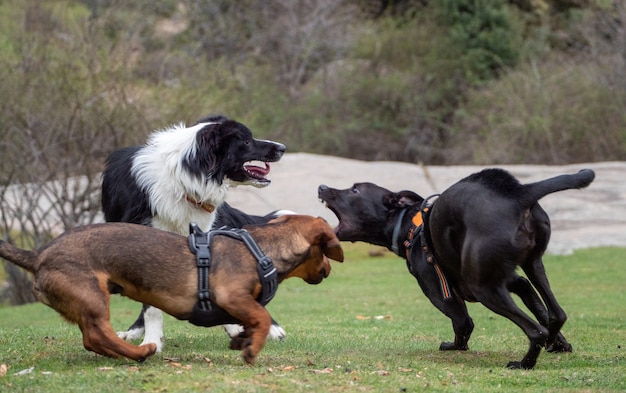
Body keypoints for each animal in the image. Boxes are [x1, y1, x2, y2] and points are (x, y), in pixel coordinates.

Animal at [0, 214, 342, 362]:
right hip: (94, 297)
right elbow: (261, 315)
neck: (262, 249)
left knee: (91, 339)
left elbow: (249, 320)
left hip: (88, 303)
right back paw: (141, 351)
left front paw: (242, 338)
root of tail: (38, 255)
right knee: (98, 335)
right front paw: (252, 347)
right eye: (326, 253)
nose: (329, 269)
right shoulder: (233, 295)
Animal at [320, 168, 592, 368]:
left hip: (484, 288)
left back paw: (524, 364)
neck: (410, 226)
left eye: (355, 189)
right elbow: (540, 309)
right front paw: (560, 344)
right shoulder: (514, 280)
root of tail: (518, 195)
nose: (321, 187)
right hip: (533, 265)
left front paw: (455, 346)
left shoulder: (441, 293)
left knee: (535, 331)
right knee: (557, 314)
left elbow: (463, 323)